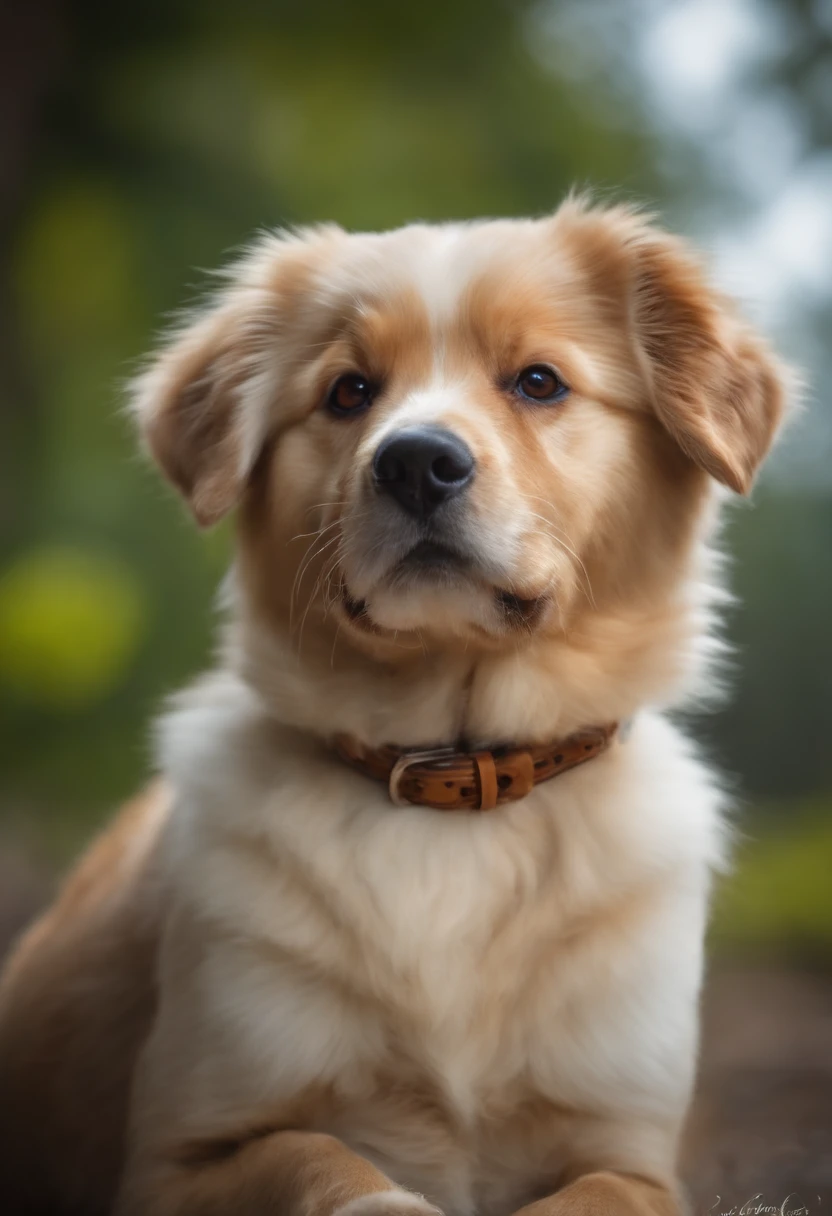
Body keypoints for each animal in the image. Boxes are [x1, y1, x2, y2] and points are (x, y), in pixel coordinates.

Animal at [0, 199, 788, 1216]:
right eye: (348, 392)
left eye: (539, 381)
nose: (416, 462)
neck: (454, 787)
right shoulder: (177, 1159)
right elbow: (321, 1155)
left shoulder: (632, 1153)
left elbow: (592, 1197)